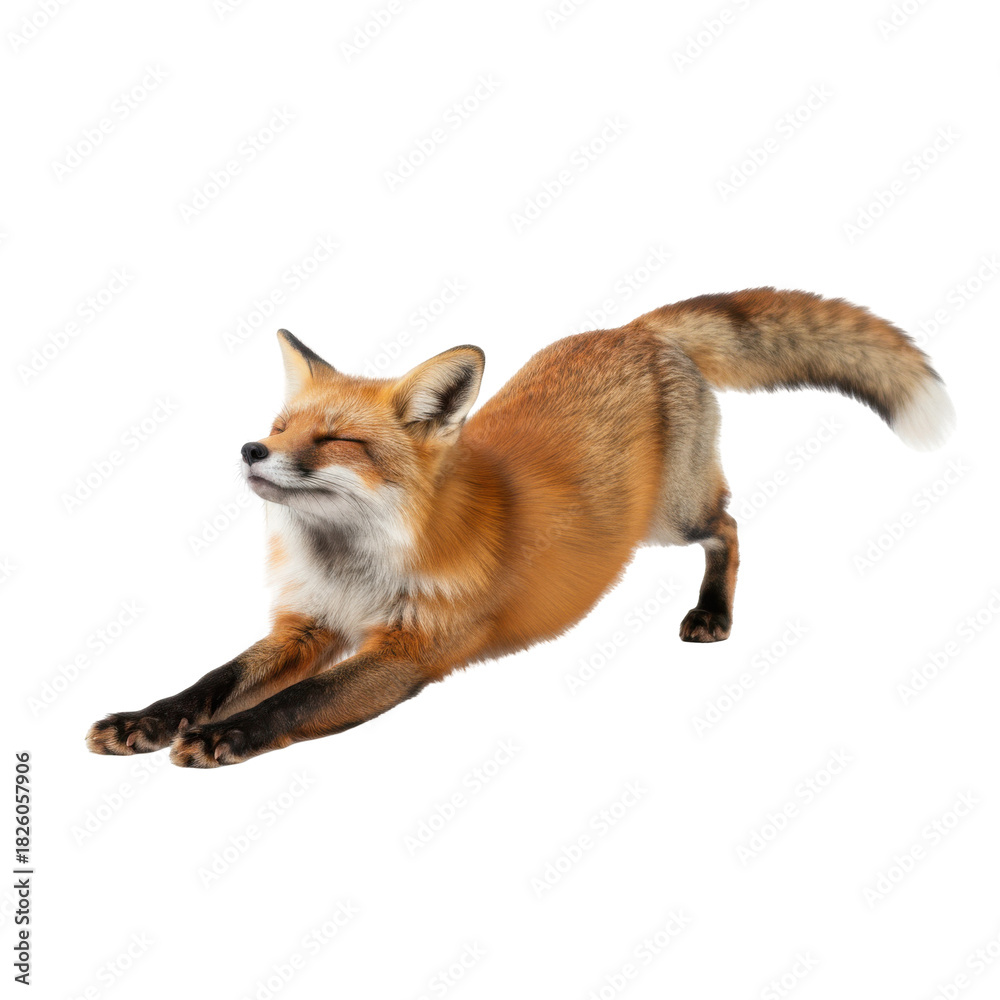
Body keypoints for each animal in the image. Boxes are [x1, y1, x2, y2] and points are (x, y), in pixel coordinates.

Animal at [86, 287, 955, 767]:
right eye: (279, 425)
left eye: (334, 440)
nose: (250, 449)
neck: (354, 569)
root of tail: (635, 330)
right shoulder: (305, 626)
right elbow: (211, 681)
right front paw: (146, 721)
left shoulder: (408, 652)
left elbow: (291, 705)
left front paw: (224, 739)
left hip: (673, 517)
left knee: (733, 526)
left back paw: (712, 612)